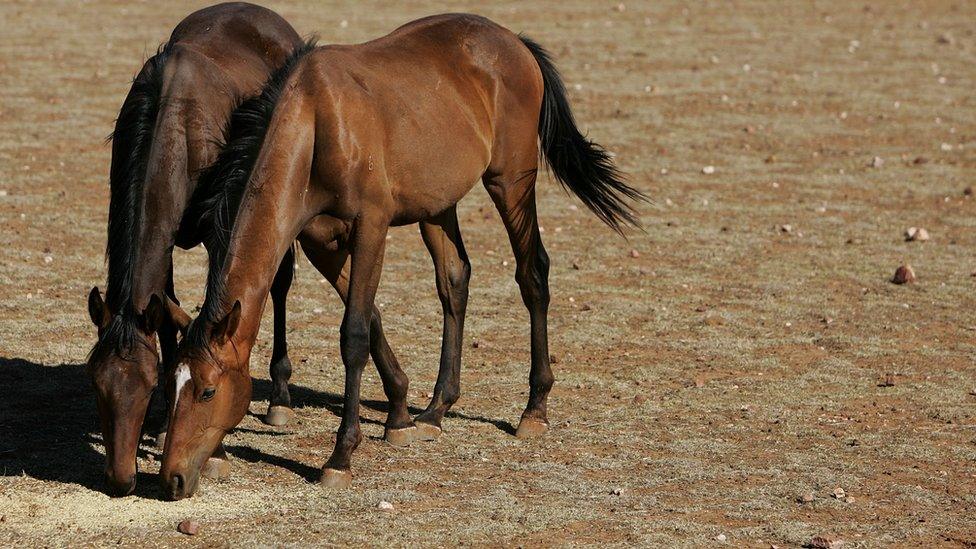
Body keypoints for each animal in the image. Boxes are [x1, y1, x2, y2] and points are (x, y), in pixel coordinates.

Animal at [86, 1, 414, 496]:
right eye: (98, 387)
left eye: (144, 385)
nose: (120, 480)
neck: (176, 120)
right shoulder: (163, 244)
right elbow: (168, 319)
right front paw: (164, 426)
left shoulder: (220, 229)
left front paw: (217, 450)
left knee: (279, 288)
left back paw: (280, 396)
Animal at [160, 12, 648, 498]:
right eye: (172, 384)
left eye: (207, 391)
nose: (172, 478)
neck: (317, 123)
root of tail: (513, 41)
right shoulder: (321, 241)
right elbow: (372, 313)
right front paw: (401, 417)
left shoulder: (371, 228)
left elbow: (354, 334)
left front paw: (340, 456)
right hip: (438, 207)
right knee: (454, 280)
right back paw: (435, 409)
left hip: (511, 182)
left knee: (533, 274)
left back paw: (534, 409)